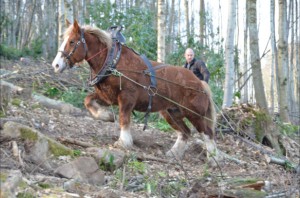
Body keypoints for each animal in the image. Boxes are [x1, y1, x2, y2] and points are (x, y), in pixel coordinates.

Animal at [51, 20, 219, 161]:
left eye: (72, 42)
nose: (56, 65)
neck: (113, 62)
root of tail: (199, 83)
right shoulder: (107, 96)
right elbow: (88, 101)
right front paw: (105, 116)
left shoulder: (127, 98)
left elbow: (124, 119)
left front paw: (123, 141)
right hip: (171, 112)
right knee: (185, 132)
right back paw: (174, 153)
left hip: (194, 113)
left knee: (207, 133)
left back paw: (213, 158)